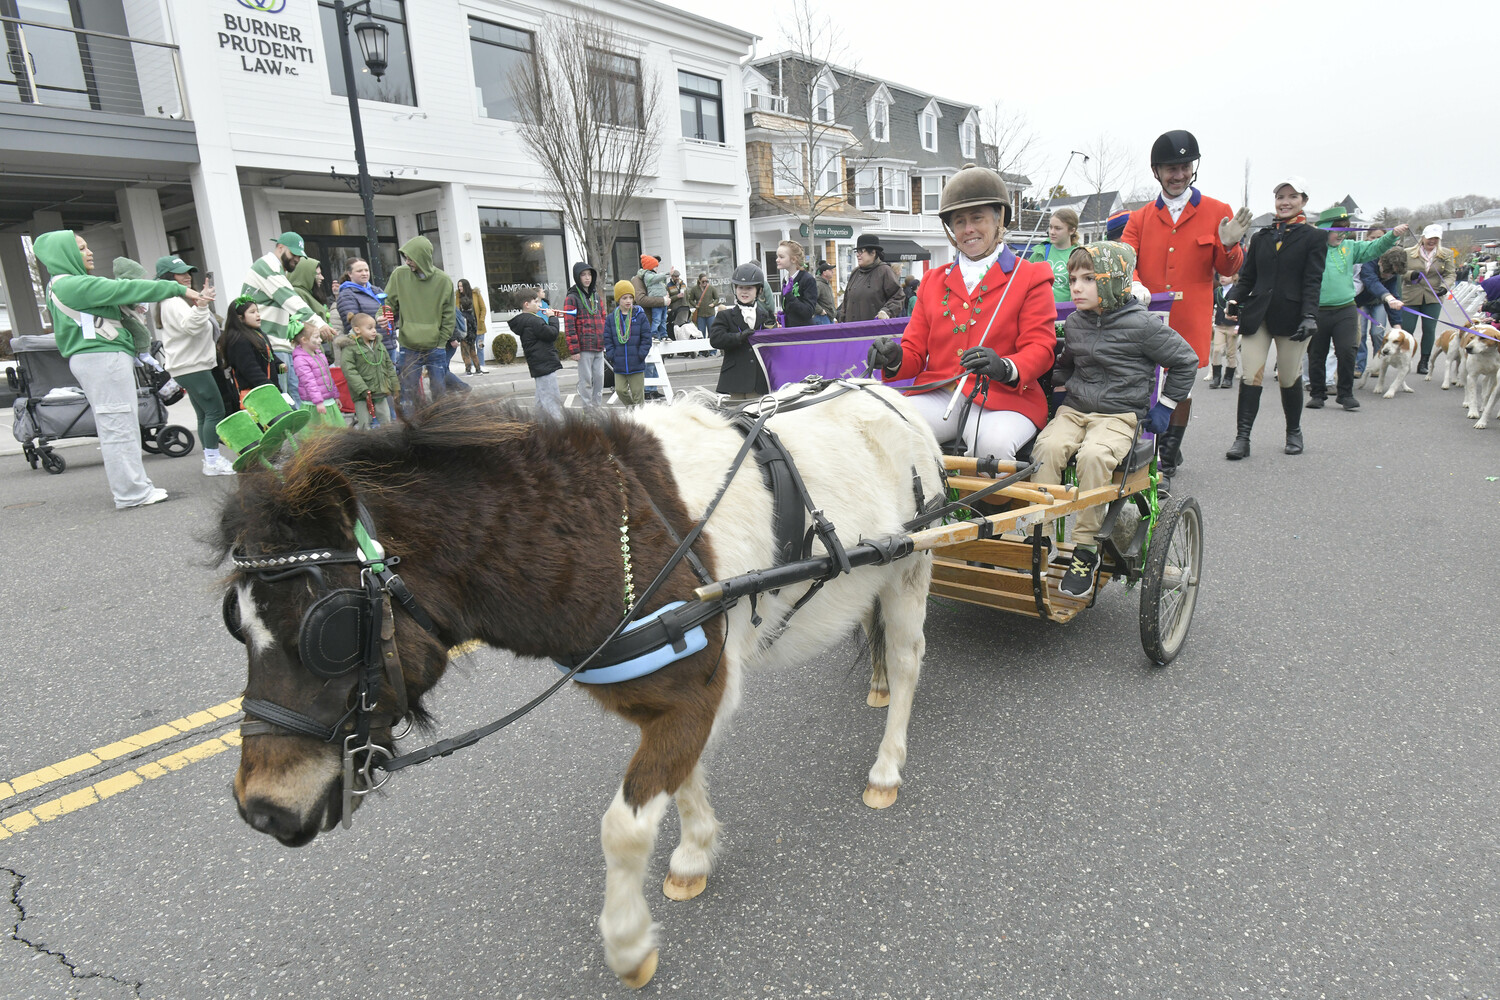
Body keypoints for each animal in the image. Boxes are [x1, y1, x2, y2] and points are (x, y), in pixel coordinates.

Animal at [217, 386, 942, 989]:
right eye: (237, 622)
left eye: (328, 630)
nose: (262, 808)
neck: (601, 533)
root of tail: (890, 394)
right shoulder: (673, 703)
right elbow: (684, 779)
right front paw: (695, 853)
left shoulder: (698, 693)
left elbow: (623, 827)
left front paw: (628, 944)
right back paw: (876, 688)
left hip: (913, 566)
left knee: (909, 660)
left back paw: (887, 763)